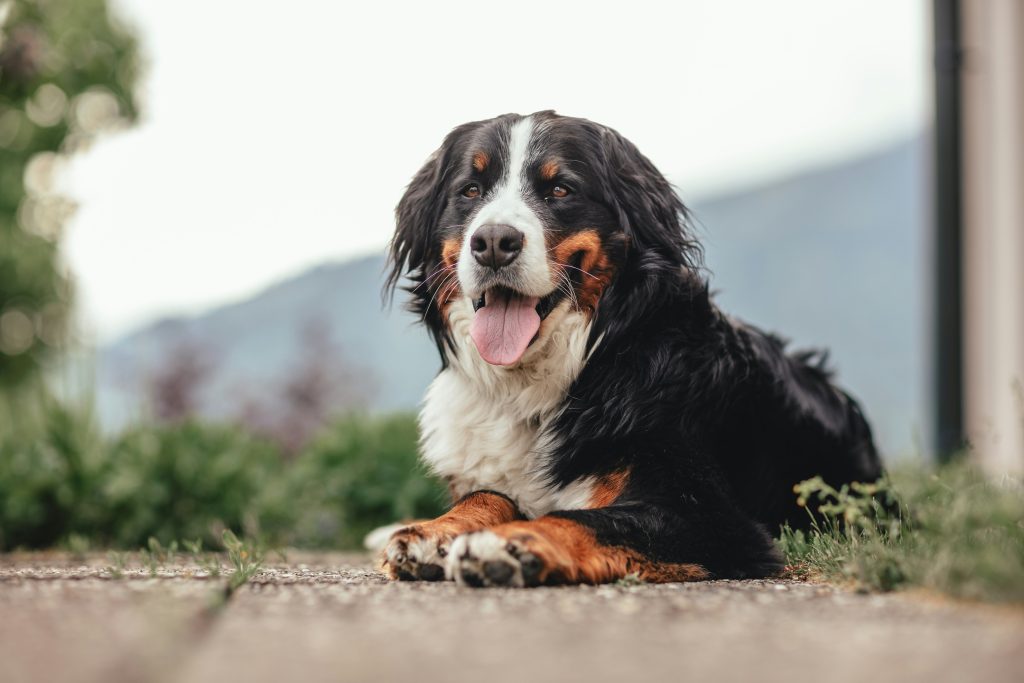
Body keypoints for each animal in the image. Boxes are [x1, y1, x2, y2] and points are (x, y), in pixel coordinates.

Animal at [380, 111, 876, 589]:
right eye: (471, 190)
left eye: (559, 189)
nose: (494, 243)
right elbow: (488, 493)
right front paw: (434, 533)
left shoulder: (713, 518)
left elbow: (583, 518)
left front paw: (506, 544)